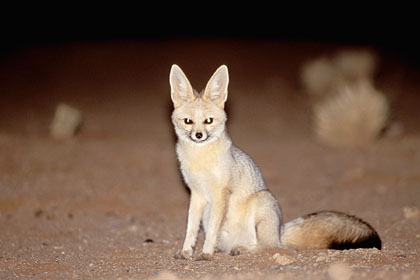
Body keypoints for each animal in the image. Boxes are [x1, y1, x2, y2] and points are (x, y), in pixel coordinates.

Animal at [169, 63, 382, 260]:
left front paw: (205, 253)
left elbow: (212, 230)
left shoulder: (221, 193)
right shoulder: (196, 193)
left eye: (208, 121)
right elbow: (191, 228)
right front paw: (186, 251)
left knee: (268, 246)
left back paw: (243, 248)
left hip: (262, 201)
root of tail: (280, 231)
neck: (200, 158)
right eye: (188, 121)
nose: (198, 135)